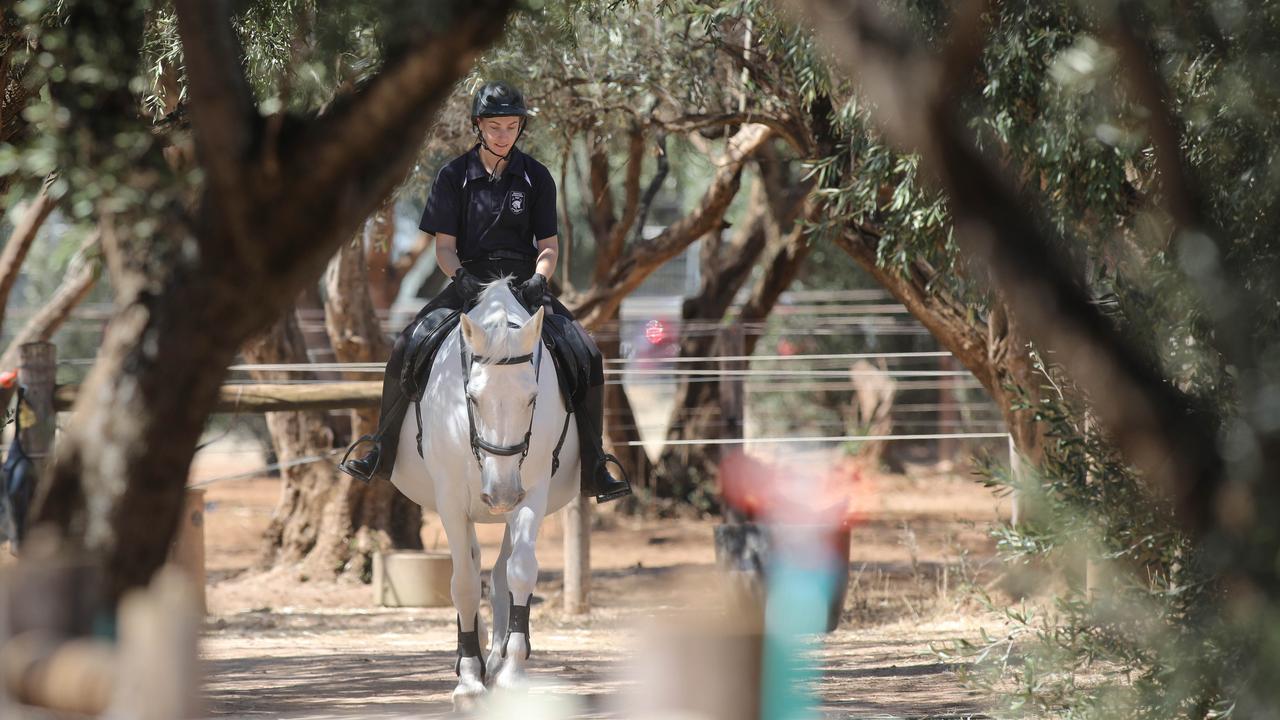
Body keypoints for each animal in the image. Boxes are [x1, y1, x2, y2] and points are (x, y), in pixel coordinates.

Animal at [384, 275, 576, 707]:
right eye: (471, 396)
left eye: (533, 398)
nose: (501, 493)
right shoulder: (451, 502)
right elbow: (465, 584)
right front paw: (469, 680)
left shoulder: (531, 494)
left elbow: (520, 572)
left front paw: (512, 672)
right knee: (470, 564)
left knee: (501, 571)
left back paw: (498, 655)